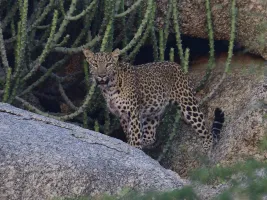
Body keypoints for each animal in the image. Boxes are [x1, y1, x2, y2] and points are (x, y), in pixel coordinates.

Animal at [82, 48, 225, 153]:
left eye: (108, 64)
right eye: (95, 64)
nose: (101, 75)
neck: (109, 89)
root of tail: (177, 65)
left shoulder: (132, 112)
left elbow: (134, 135)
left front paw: (134, 149)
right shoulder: (121, 115)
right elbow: (130, 134)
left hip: (188, 105)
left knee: (206, 133)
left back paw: (206, 154)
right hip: (153, 114)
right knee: (150, 137)